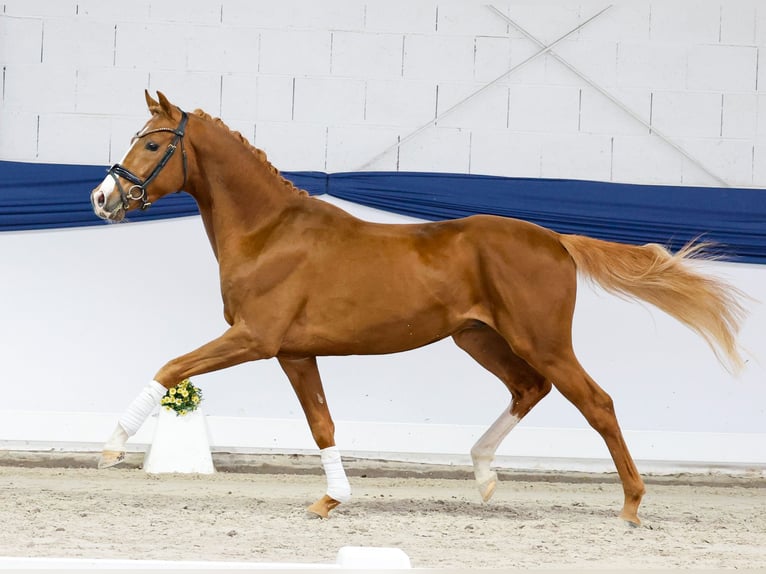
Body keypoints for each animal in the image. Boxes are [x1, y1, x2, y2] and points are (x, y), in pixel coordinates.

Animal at [91, 91, 747, 525]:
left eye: (153, 142)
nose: (102, 198)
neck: (269, 232)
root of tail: (556, 240)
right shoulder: (295, 352)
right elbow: (322, 423)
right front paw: (331, 499)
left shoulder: (255, 338)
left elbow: (170, 367)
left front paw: (113, 447)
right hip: (478, 337)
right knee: (528, 389)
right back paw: (483, 476)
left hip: (541, 339)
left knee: (596, 402)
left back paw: (631, 505)